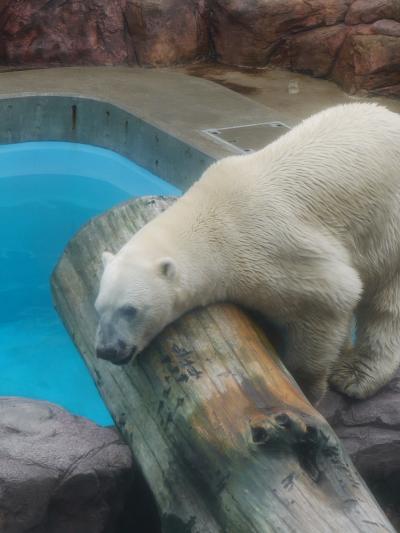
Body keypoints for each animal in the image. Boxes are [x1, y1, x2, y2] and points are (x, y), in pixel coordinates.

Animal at [94, 103, 400, 404]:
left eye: (130, 309)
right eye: (99, 307)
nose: (106, 350)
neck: (212, 219)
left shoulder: (276, 250)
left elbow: (333, 298)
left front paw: (306, 388)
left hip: (388, 224)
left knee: (386, 300)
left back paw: (356, 374)